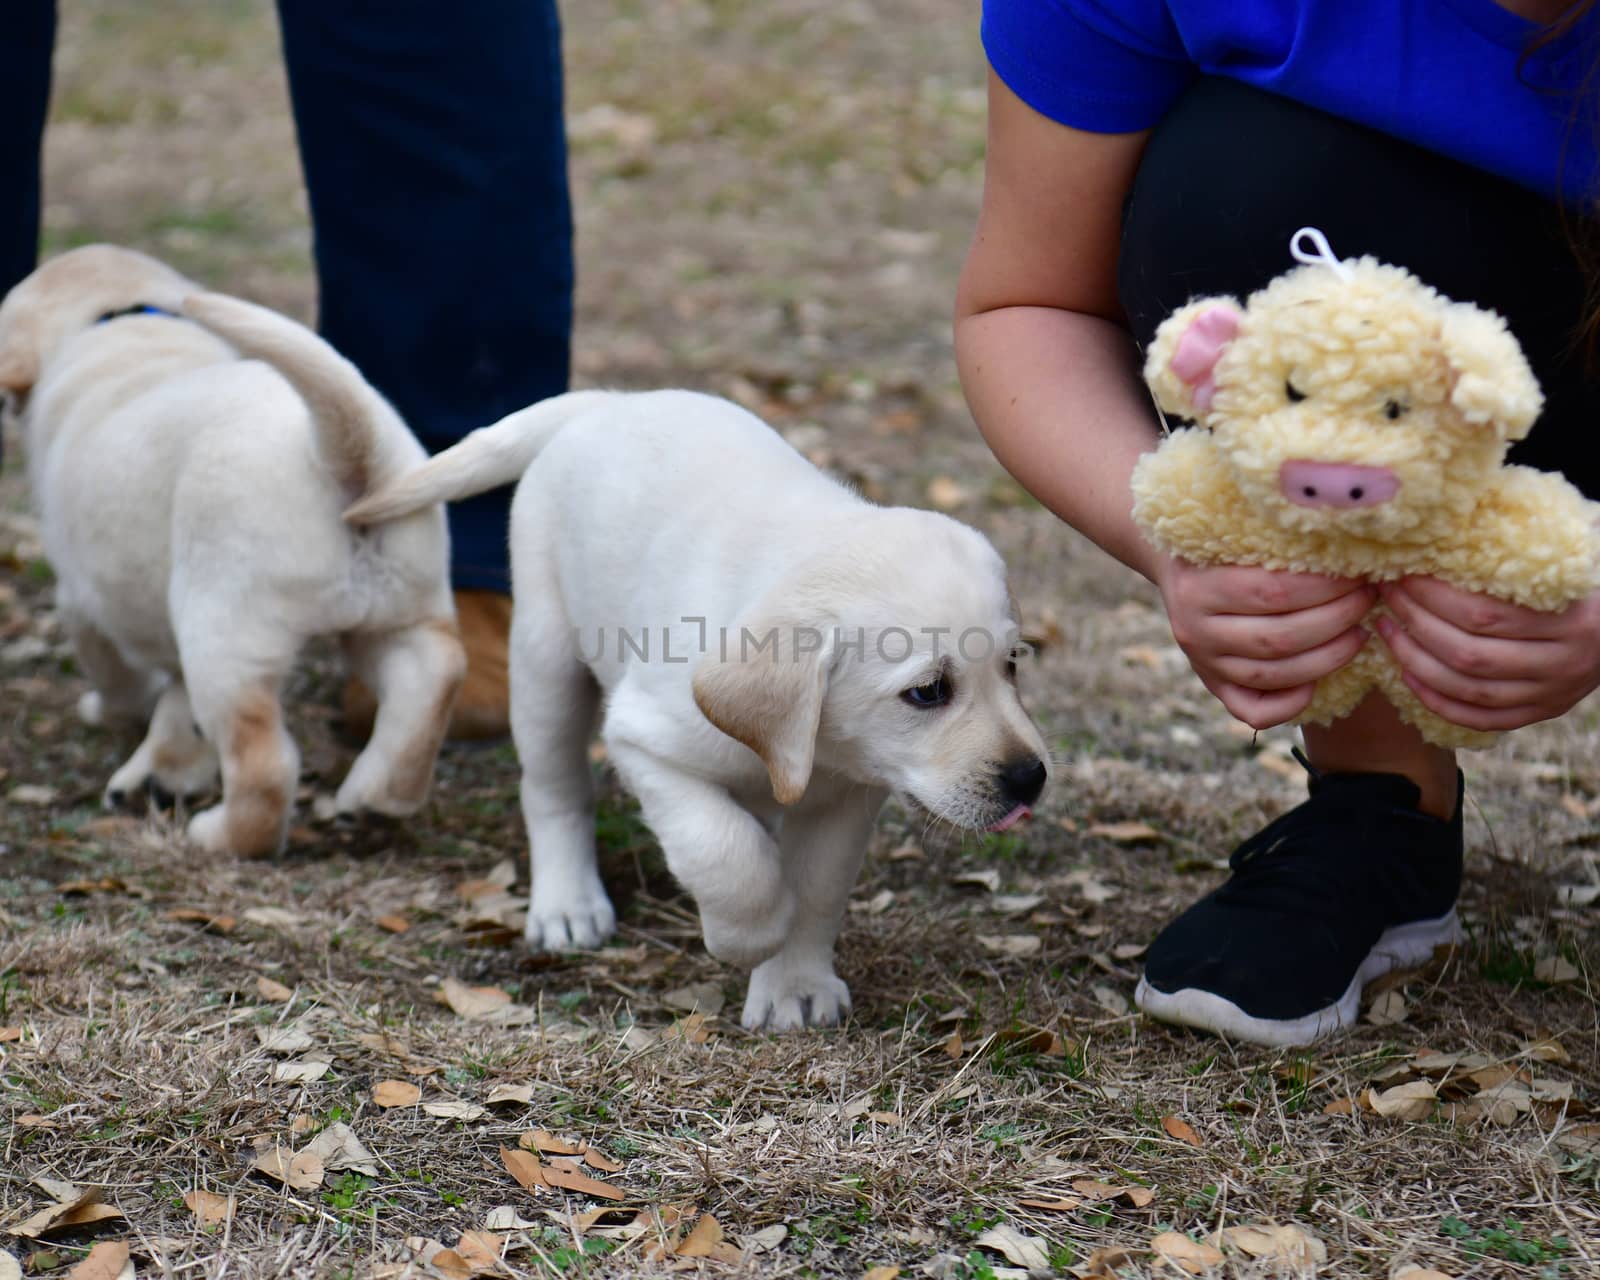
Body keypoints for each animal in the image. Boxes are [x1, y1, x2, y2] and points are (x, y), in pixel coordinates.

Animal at [0, 244, 464, 857]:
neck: (120, 321)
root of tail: (342, 448)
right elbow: (177, 707)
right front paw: (163, 772)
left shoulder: (85, 601)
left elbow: (123, 679)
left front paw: (112, 717)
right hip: (400, 608)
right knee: (432, 675)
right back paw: (376, 799)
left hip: (226, 632)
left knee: (265, 765)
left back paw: (221, 835)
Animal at [350, 387, 1049, 1030]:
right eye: (927, 692)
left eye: (1013, 665)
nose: (1031, 779)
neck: (806, 750)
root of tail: (609, 400)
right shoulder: (645, 741)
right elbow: (723, 850)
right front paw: (747, 936)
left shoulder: (849, 793)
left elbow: (817, 889)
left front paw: (795, 985)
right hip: (546, 659)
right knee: (554, 789)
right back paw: (568, 903)